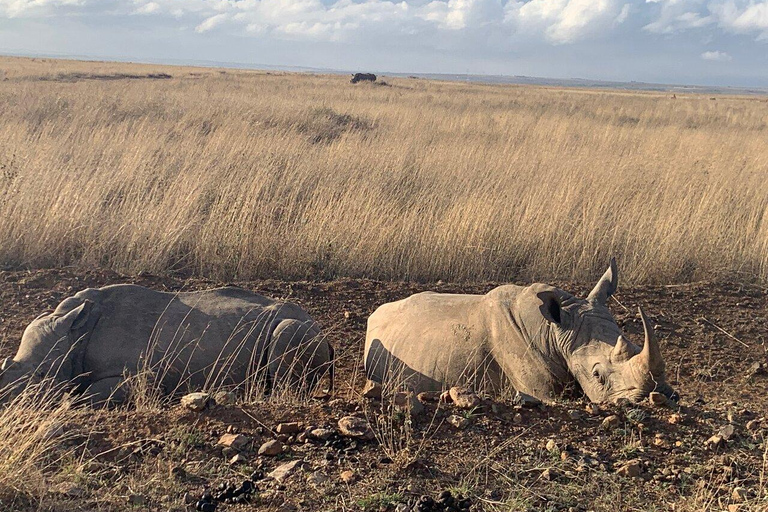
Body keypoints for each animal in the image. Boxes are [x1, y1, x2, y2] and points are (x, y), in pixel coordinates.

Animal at [0, 284, 332, 404]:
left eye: (42, 375)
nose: (7, 403)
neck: (74, 332)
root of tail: (319, 325)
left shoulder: (141, 376)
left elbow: (85, 396)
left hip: (299, 328)